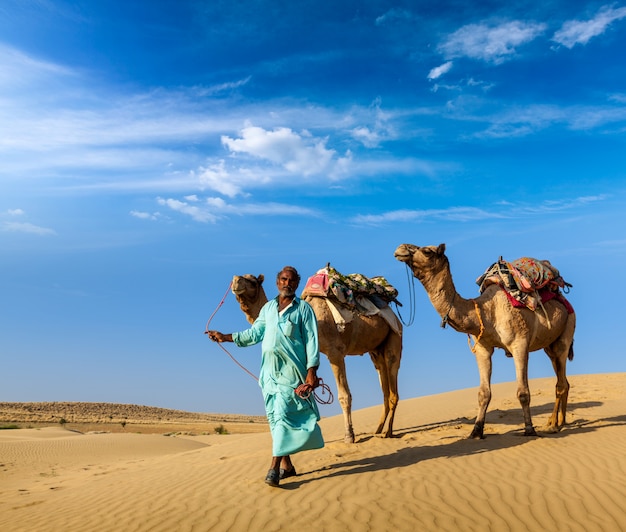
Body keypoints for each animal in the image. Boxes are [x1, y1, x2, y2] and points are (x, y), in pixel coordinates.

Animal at [229, 272, 400, 442]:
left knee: (392, 378)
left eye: (253, 281)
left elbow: (344, 396)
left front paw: (349, 435)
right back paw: (378, 430)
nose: (235, 281)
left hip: (395, 335)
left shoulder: (335, 352)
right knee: (383, 379)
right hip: (375, 350)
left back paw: (388, 432)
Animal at [392, 243, 572, 438]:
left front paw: (529, 429)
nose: (400, 249)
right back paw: (559, 422)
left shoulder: (520, 344)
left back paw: (554, 425)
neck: (486, 312)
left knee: (560, 382)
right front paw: (476, 430)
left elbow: (523, 392)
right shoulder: (483, 348)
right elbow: (483, 393)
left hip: (566, 331)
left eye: (426, 251)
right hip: (550, 346)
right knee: (563, 380)